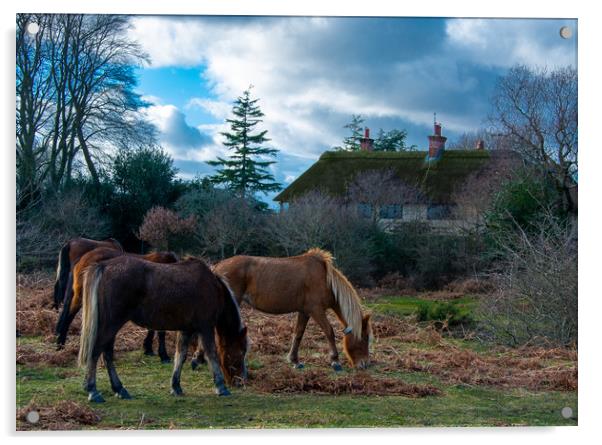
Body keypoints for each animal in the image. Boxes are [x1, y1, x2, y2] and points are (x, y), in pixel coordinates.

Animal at [77, 253, 246, 402]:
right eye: (240, 353)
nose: (241, 381)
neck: (212, 287)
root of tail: (104, 266)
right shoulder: (206, 327)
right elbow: (212, 354)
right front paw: (221, 386)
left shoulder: (186, 330)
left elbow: (180, 356)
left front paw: (176, 386)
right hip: (112, 323)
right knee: (96, 351)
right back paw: (93, 391)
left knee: (106, 354)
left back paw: (119, 389)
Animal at [193, 248, 370, 370]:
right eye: (365, 338)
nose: (365, 364)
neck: (325, 279)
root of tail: (216, 267)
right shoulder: (317, 311)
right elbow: (329, 332)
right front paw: (335, 361)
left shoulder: (304, 312)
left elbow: (298, 334)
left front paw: (295, 361)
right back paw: (200, 358)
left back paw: (200, 358)